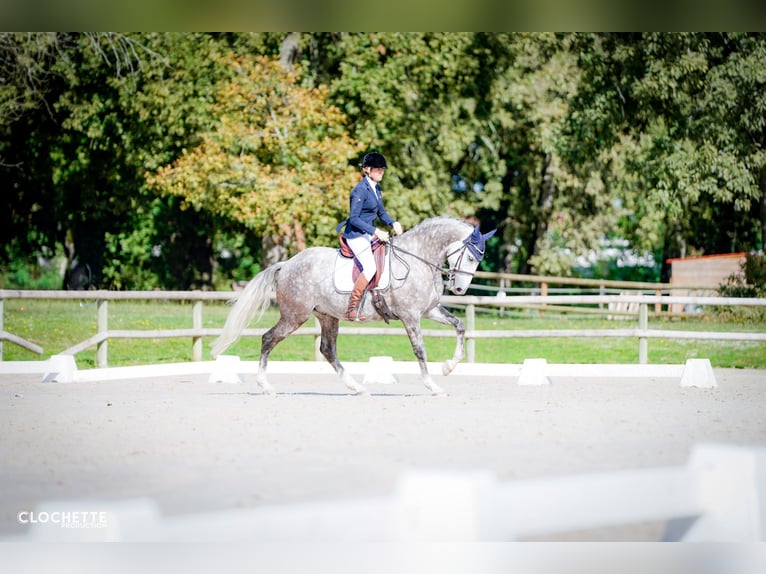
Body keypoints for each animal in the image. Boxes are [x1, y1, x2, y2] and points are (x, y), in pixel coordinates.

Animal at [210, 216, 498, 396]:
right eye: (470, 257)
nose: (459, 290)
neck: (419, 259)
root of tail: (287, 263)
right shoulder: (411, 316)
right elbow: (420, 350)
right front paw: (433, 386)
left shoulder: (428, 311)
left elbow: (460, 326)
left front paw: (449, 367)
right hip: (295, 316)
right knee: (268, 339)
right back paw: (266, 386)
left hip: (327, 316)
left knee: (328, 350)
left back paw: (357, 387)